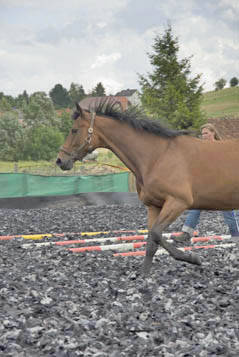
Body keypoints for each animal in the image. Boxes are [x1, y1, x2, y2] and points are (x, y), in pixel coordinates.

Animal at [56, 98, 239, 274]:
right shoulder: (154, 206)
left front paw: (193, 258)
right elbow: (152, 239)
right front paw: (144, 274)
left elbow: (156, 234)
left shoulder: (178, 202)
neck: (157, 157)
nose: (60, 160)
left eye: (74, 130)